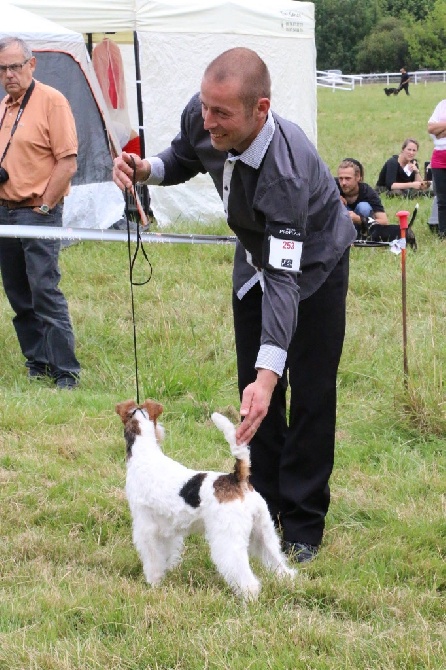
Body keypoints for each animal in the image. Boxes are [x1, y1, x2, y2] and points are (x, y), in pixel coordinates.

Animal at [116, 402, 296, 600]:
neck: (144, 454)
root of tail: (238, 479)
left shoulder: (146, 527)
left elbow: (153, 559)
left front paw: (153, 582)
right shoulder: (167, 530)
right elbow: (167, 553)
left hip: (228, 538)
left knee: (245, 576)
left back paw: (248, 597)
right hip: (263, 531)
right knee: (278, 563)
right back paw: (287, 581)